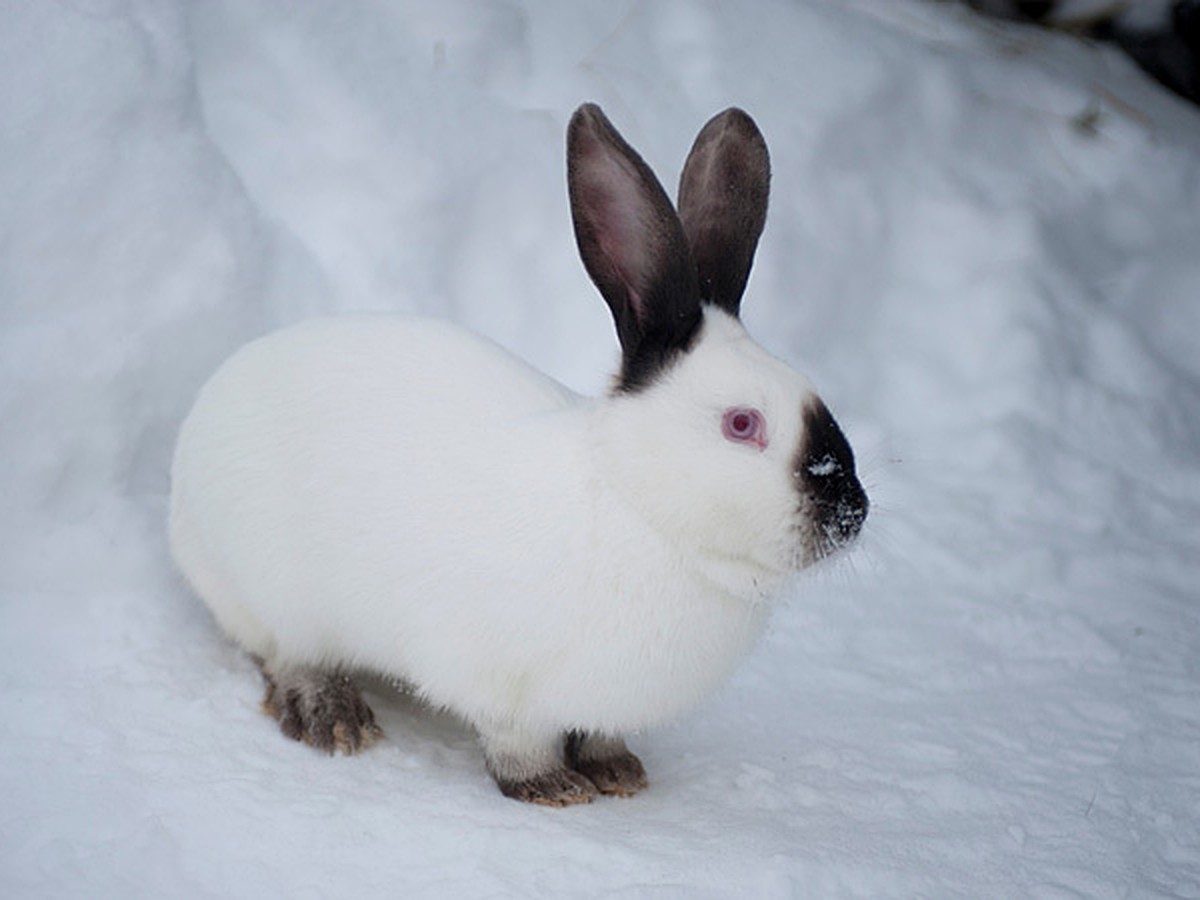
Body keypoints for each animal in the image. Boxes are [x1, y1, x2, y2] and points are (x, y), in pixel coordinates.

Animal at [169, 102, 868, 806]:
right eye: (742, 424)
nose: (853, 513)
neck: (638, 505)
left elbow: (600, 735)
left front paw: (619, 773)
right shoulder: (498, 682)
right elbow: (517, 742)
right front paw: (552, 789)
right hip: (276, 592)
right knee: (285, 654)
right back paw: (334, 717)